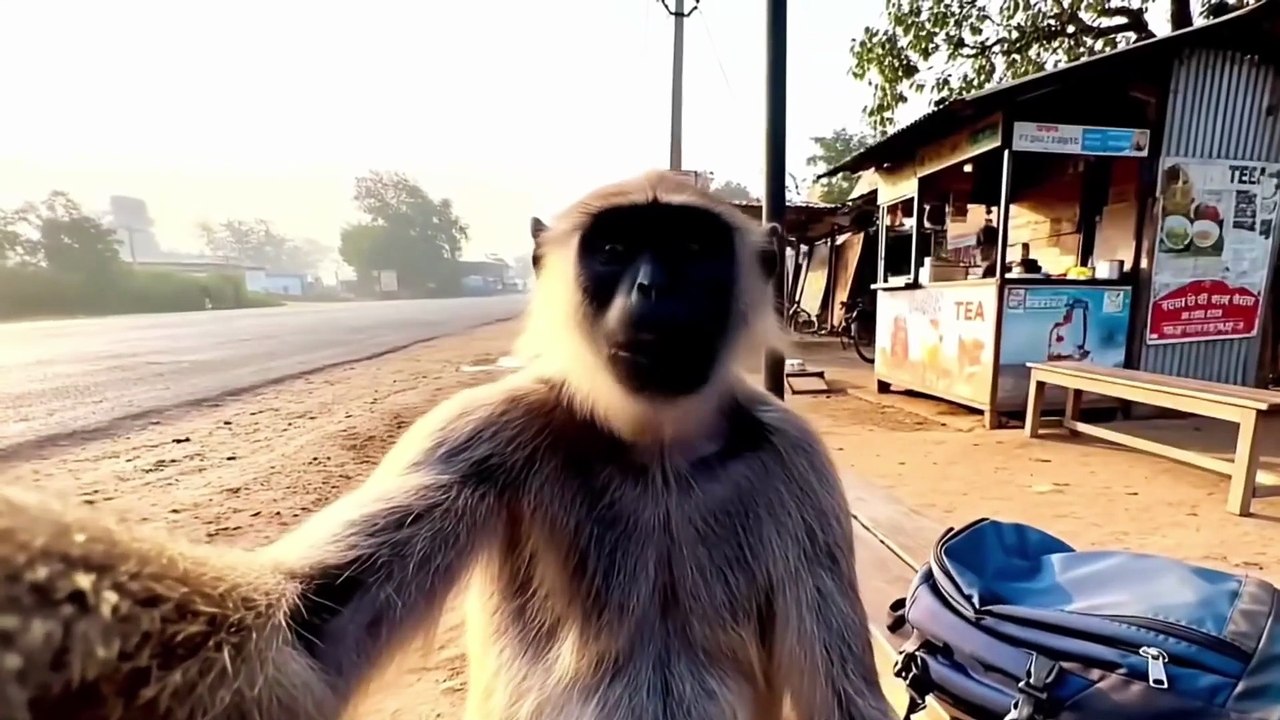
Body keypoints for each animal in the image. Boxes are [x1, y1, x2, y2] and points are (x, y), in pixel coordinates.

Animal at [0, 169, 896, 720]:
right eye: (613, 248)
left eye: (689, 250)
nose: (651, 287)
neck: (657, 450)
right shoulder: (479, 431)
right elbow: (299, 628)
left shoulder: (797, 464)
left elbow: (843, 697)